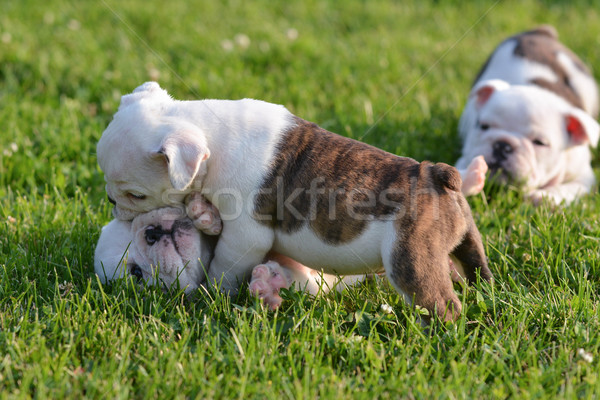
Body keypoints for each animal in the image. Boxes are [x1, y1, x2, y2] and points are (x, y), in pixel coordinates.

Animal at [97, 83, 492, 324]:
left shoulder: (245, 235)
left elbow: (226, 264)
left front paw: (215, 295)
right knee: (475, 264)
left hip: (409, 258)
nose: (112, 202)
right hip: (461, 238)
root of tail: (436, 176)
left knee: (440, 301)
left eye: (135, 194)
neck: (211, 137)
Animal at [458, 26, 596, 205]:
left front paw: (544, 197)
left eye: (540, 142)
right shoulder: (466, 155)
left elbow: (569, 188)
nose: (502, 145)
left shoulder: (584, 176)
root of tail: (539, 32)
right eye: (483, 126)